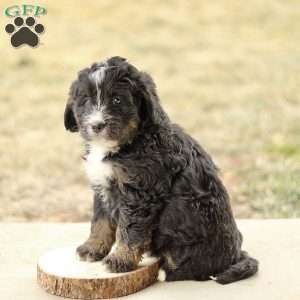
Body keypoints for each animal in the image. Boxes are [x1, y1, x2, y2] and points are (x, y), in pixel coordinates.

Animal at [63, 56, 258, 284]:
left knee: (198, 269)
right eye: (85, 100)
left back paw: (167, 271)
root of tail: (236, 256)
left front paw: (119, 260)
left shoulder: (140, 193)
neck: (131, 142)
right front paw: (92, 248)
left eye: (117, 100)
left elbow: (129, 230)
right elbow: (100, 221)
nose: (97, 125)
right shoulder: (102, 186)